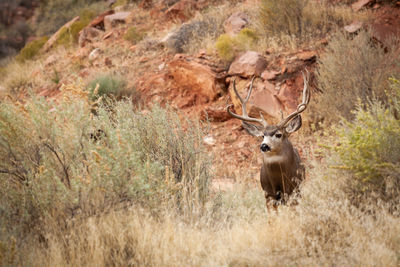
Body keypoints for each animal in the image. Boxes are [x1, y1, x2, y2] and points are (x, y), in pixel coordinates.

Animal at [227, 71, 310, 211]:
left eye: (279, 134)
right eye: (262, 136)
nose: (264, 146)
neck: (279, 183)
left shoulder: (294, 192)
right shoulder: (268, 195)